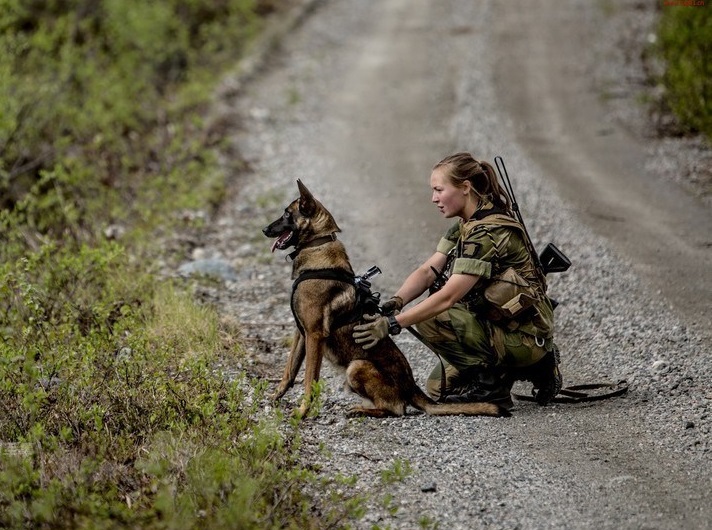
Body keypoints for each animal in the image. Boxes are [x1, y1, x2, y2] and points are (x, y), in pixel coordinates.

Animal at [262, 180, 506, 416]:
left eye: (287, 214)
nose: (264, 229)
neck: (318, 249)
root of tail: (411, 386)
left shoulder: (314, 335)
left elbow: (309, 380)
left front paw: (303, 411)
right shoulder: (301, 333)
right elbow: (290, 370)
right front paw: (275, 397)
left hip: (357, 366)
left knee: (396, 409)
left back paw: (361, 410)